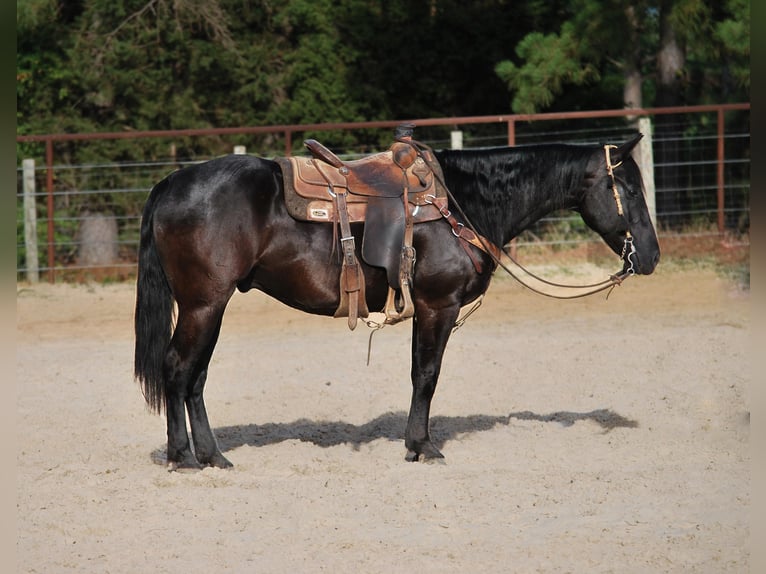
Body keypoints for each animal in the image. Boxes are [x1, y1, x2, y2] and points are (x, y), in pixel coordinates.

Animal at [132, 133, 660, 470]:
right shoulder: (437, 305)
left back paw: (212, 455)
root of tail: (171, 183)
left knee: (196, 376)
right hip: (204, 304)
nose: (652, 255)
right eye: (629, 188)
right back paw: (184, 457)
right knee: (178, 368)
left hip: (211, 306)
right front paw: (422, 446)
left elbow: (420, 374)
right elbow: (426, 375)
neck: (460, 203)